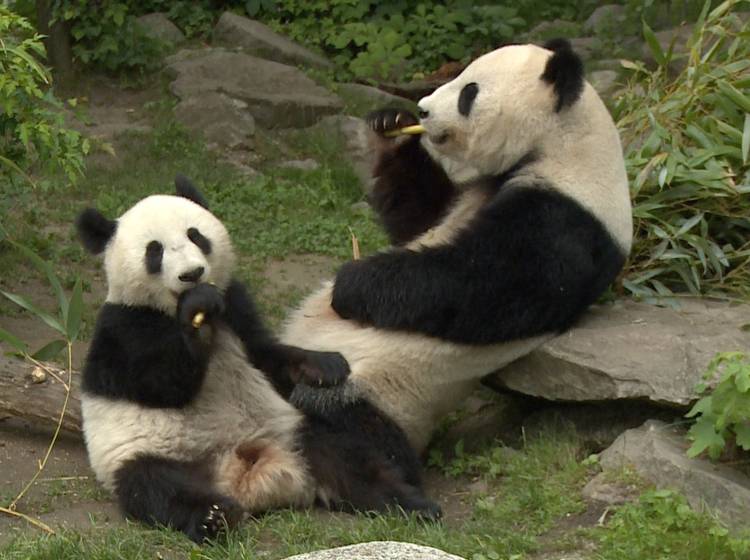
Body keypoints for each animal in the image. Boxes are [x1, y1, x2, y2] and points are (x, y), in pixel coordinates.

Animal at [75, 176, 440, 544]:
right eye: (155, 251)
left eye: (195, 235)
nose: (192, 273)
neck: (173, 308)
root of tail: (246, 478)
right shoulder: (124, 327)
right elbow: (162, 385)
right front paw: (196, 320)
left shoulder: (236, 304)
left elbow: (266, 354)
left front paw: (327, 365)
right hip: (148, 456)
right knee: (158, 487)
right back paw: (214, 517)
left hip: (291, 430)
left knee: (347, 459)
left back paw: (412, 505)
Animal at [282, 41, 636, 456]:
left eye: (469, 92)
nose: (422, 109)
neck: (564, 144)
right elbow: (419, 217)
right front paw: (392, 127)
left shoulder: (567, 222)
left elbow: (480, 284)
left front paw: (350, 282)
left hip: (371, 393)